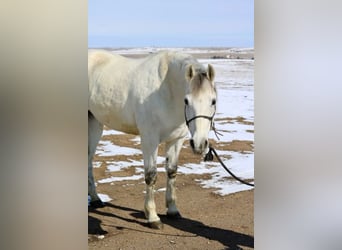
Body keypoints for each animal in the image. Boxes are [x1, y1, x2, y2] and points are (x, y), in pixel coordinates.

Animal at [88, 49, 216, 229]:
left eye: (213, 101)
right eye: (186, 100)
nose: (199, 144)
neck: (166, 90)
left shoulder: (176, 140)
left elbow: (172, 172)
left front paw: (173, 210)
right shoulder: (149, 139)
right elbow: (151, 175)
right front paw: (152, 216)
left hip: (95, 123)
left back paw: (95, 199)